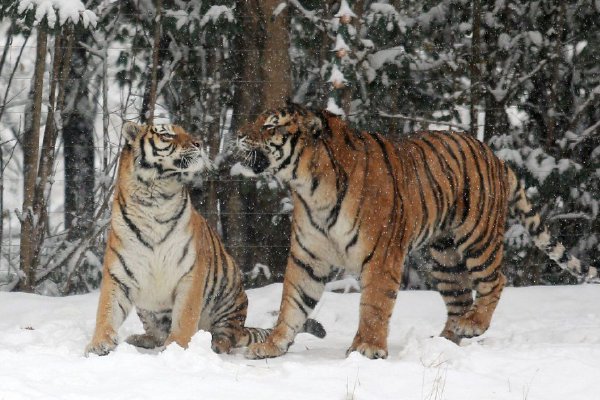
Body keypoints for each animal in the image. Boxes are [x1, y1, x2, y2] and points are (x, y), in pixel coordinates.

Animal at [84, 122, 324, 356]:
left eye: (184, 130)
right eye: (167, 134)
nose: (198, 143)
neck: (155, 198)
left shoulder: (190, 273)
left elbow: (185, 318)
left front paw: (176, 349)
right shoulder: (118, 274)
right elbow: (106, 310)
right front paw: (99, 344)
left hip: (229, 295)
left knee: (229, 335)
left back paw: (215, 343)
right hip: (149, 308)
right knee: (157, 333)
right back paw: (141, 339)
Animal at [237, 103, 596, 360]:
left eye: (269, 125)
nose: (238, 134)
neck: (309, 187)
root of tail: (496, 157)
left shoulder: (381, 255)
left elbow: (374, 304)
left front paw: (366, 348)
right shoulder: (307, 256)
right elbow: (292, 302)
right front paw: (273, 345)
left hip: (478, 238)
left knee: (495, 280)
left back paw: (473, 325)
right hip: (445, 258)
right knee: (460, 298)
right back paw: (446, 341)